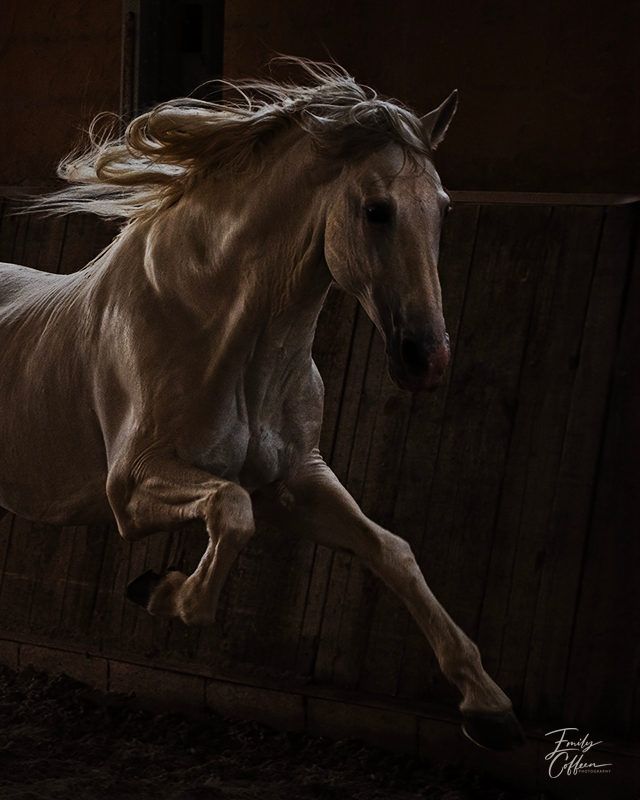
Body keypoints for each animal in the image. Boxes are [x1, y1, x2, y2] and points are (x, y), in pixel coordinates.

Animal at [0, 59, 523, 750]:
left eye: (442, 207)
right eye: (376, 210)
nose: (426, 359)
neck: (215, 329)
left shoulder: (295, 480)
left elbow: (391, 550)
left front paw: (488, 706)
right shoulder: (133, 487)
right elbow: (232, 511)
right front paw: (161, 591)